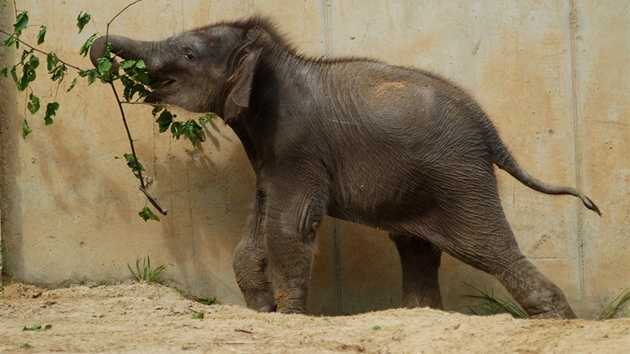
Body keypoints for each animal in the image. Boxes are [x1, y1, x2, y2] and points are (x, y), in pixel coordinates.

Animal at [90, 15, 604, 318]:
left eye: (189, 55)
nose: (102, 58)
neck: (271, 60)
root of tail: (489, 129)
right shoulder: (271, 156)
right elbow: (258, 229)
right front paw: (262, 314)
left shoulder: (297, 147)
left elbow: (288, 227)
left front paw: (290, 318)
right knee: (417, 247)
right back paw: (419, 316)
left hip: (458, 175)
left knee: (487, 247)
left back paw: (557, 320)